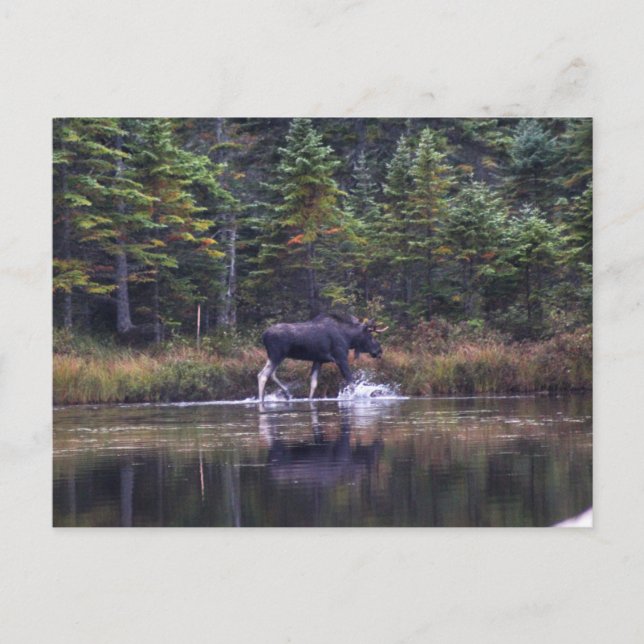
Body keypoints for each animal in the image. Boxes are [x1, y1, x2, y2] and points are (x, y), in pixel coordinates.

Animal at [257, 313, 388, 402]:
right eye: (370, 336)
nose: (379, 350)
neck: (348, 338)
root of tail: (263, 336)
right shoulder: (341, 357)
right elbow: (351, 382)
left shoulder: (318, 360)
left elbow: (314, 383)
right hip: (277, 354)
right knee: (263, 375)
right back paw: (262, 400)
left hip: (275, 356)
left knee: (270, 374)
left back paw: (287, 393)